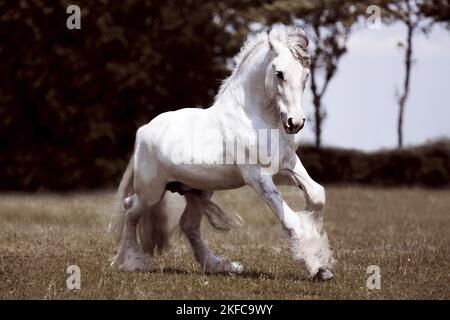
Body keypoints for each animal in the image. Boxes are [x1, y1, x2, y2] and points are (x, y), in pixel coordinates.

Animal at [109, 24, 334, 280]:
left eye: (305, 75)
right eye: (279, 73)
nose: (295, 122)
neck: (256, 117)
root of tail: (143, 130)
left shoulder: (288, 165)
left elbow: (317, 195)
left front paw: (321, 258)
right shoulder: (258, 177)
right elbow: (290, 219)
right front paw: (316, 267)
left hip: (199, 191)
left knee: (188, 225)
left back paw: (221, 266)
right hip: (151, 192)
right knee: (129, 210)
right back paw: (133, 262)